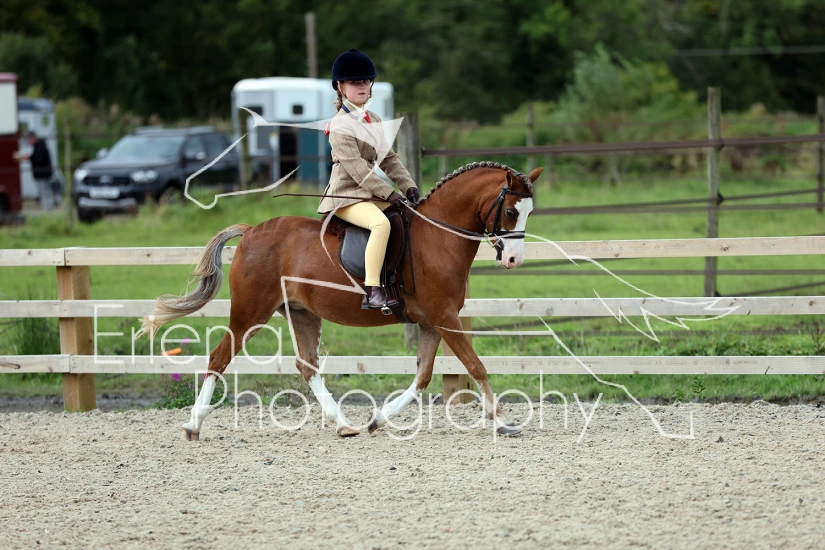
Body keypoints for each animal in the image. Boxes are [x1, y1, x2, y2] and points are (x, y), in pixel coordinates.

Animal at [139, 162, 541, 440]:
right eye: (510, 211)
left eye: (529, 212)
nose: (513, 260)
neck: (436, 237)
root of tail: (252, 231)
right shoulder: (445, 318)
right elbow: (476, 367)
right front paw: (504, 422)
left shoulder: (431, 322)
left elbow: (423, 377)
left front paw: (378, 419)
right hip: (250, 313)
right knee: (220, 357)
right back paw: (193, 424)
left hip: (301, 313)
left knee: (307, 365)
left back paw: (344, 424)